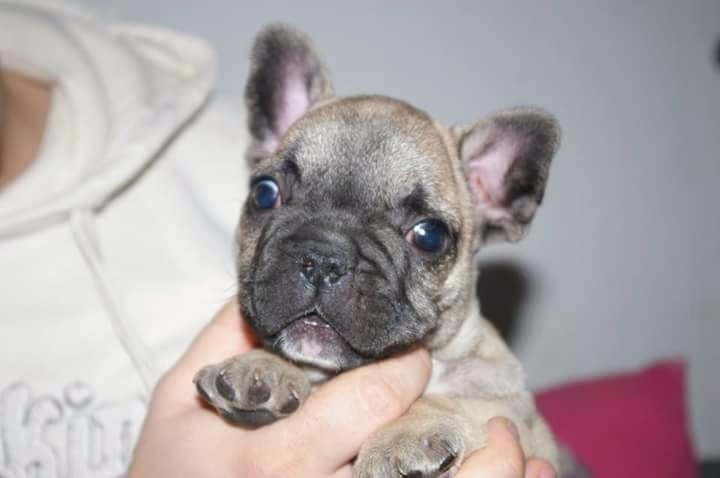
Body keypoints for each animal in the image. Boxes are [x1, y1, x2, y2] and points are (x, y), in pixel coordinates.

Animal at [197, 24, 564, 476]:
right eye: (264, 194)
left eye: (429, 236)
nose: (322, 259)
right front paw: (261, 367)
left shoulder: (516, 418)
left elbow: (453, 399)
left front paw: (405, 434)